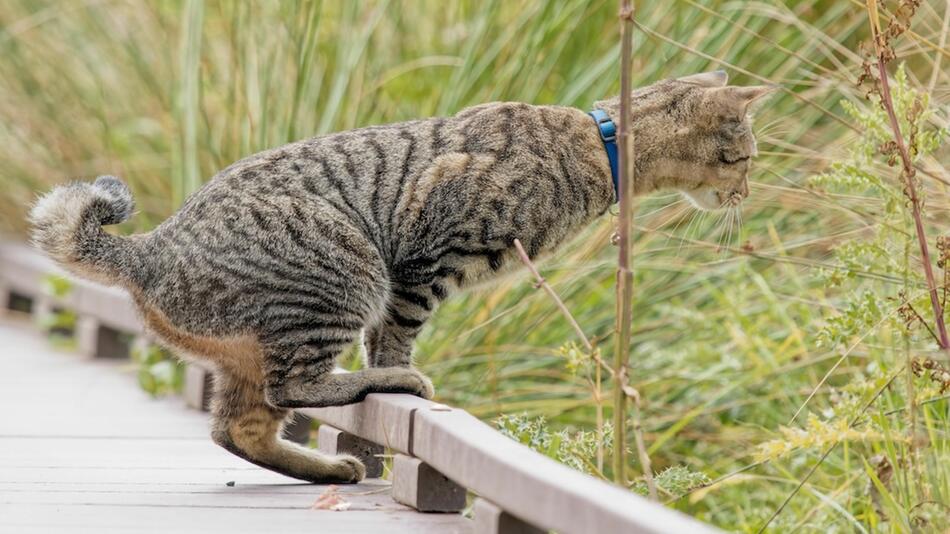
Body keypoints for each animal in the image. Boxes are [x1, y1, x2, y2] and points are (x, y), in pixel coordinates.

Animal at [27, 69, 772, 484]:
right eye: (742, 159)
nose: (746, 193)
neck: (600, 144)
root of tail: (149, 249)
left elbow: (385, 335)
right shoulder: (427, 252)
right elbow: (396, 332)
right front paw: (395, 370)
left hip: (253, 350)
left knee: (238, 429)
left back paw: (326, 469)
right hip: (344, 271)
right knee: (297, 384)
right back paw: (372, 390)